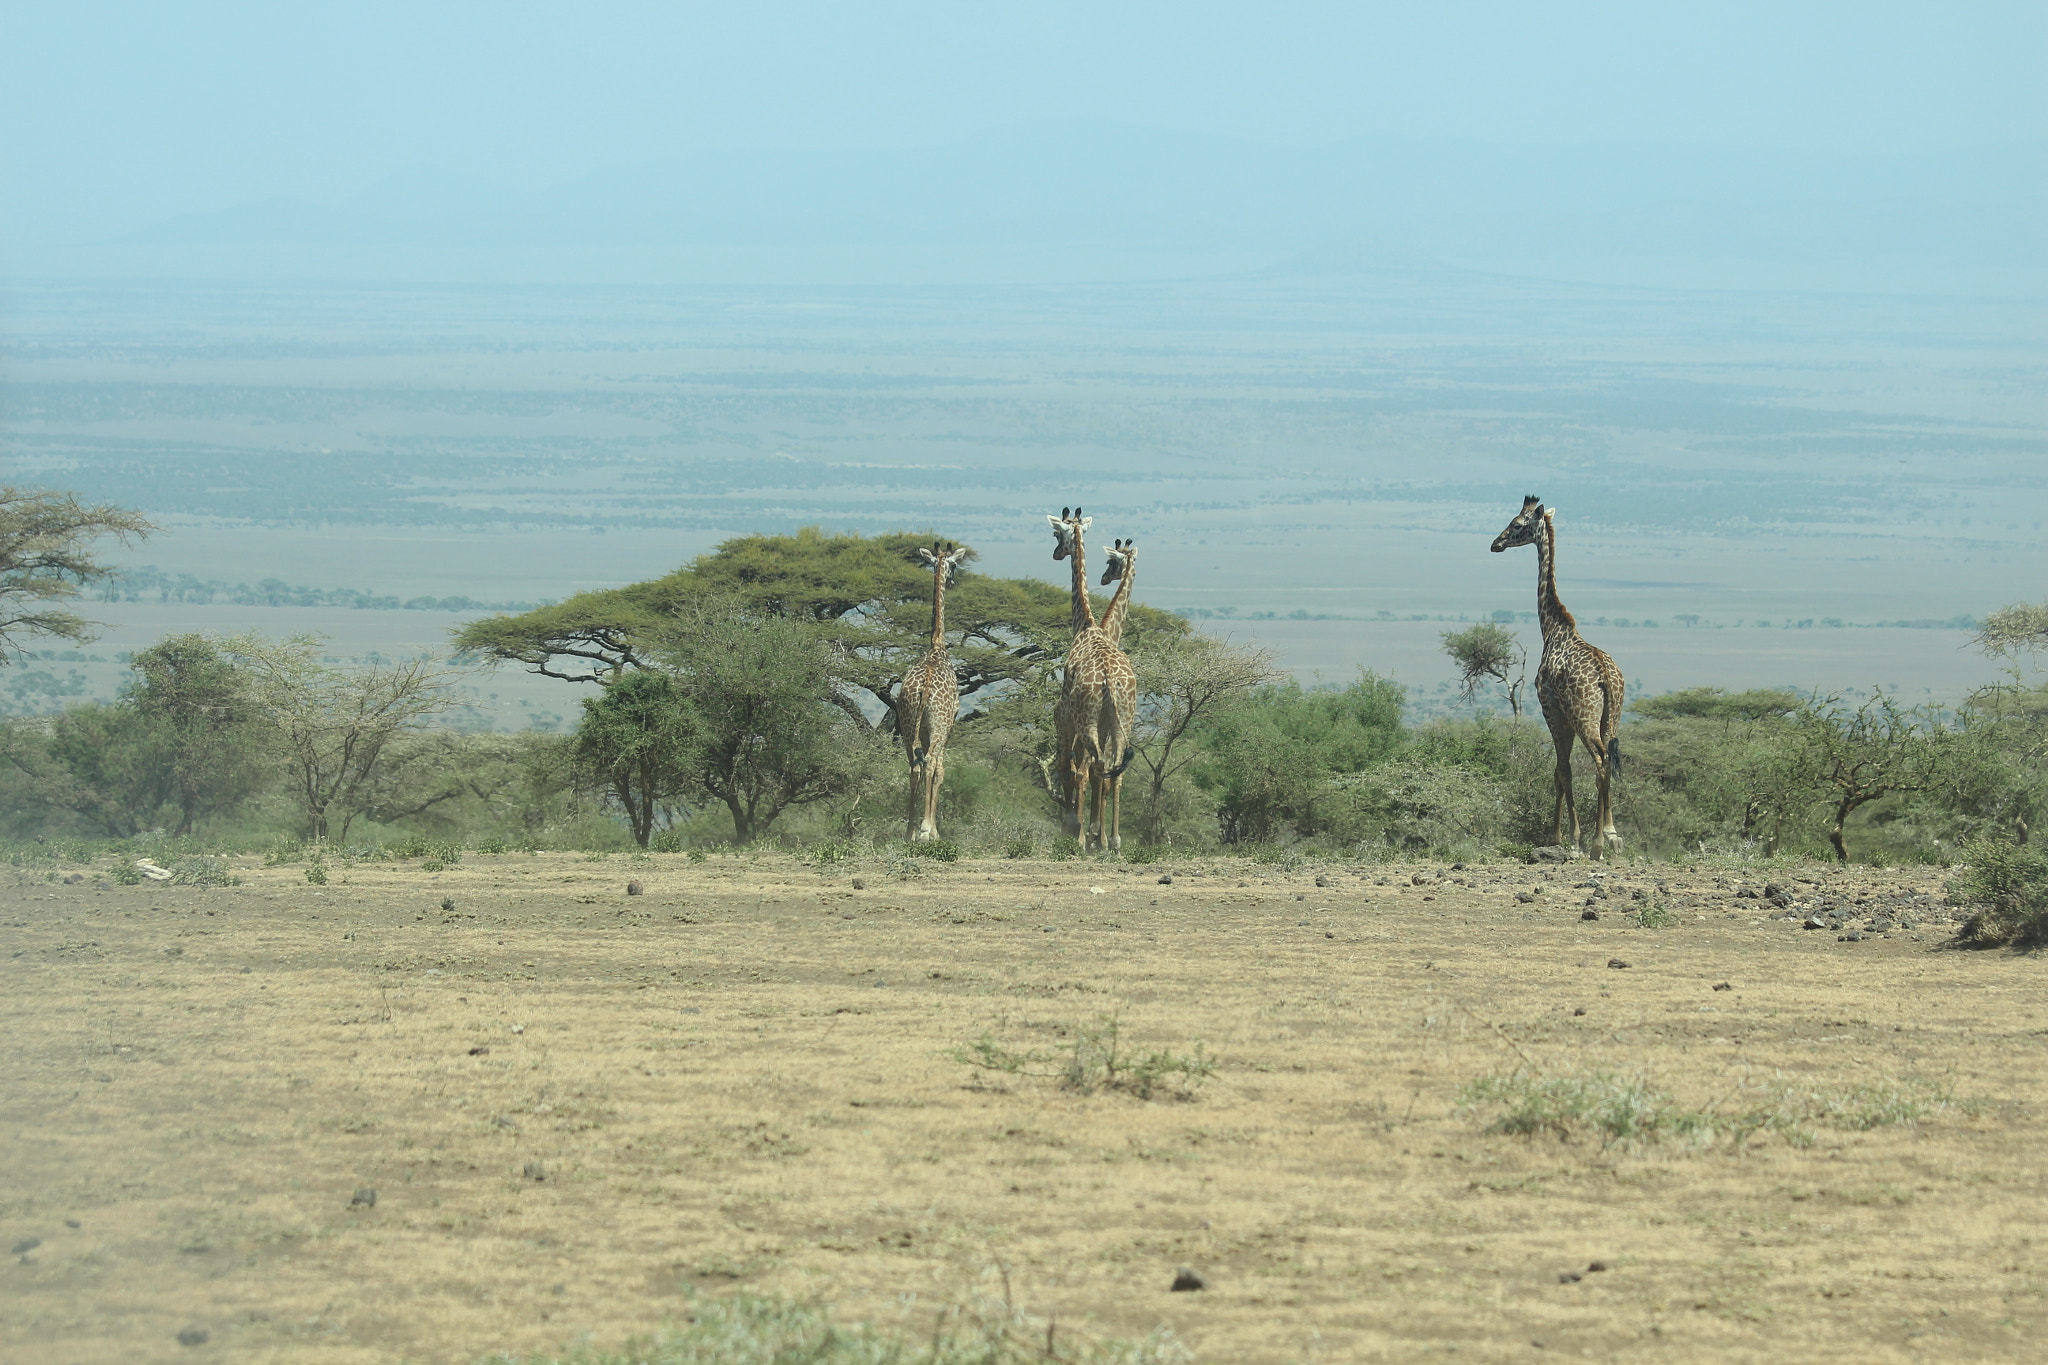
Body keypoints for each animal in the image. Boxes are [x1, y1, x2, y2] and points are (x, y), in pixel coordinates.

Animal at [1499, 491, 1622, 859]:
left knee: (1599, 760)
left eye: (1517, 524)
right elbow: (1561, 771)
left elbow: (1562, 771)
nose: (1496, 543)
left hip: (1584, 716)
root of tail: (1607, 677)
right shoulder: (1562, 714)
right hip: (1612, 717)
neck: (1553, 628)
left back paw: (1597, 842)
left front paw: (1563, 838)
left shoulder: (1551, 709)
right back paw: (1612, 834)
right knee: (1610, 758)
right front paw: (1574, 835)